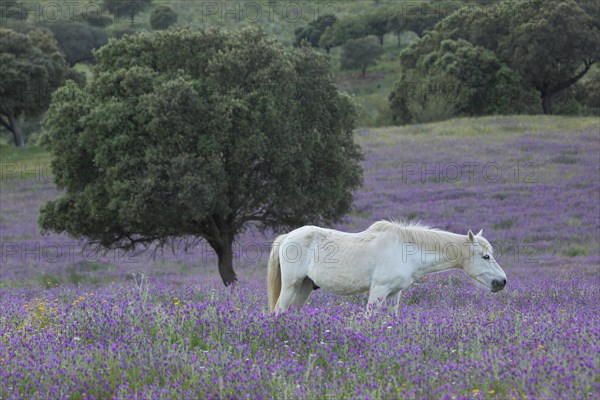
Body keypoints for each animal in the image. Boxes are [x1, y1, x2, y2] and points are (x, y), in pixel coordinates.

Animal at [268, 220, 506, 314]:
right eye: (485, 256)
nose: (502, 282)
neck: (404, 251)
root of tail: (287, 237)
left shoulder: (394, 294)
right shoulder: (379, 291)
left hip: (304, 287)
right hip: (291, 286)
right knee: (279, 311)